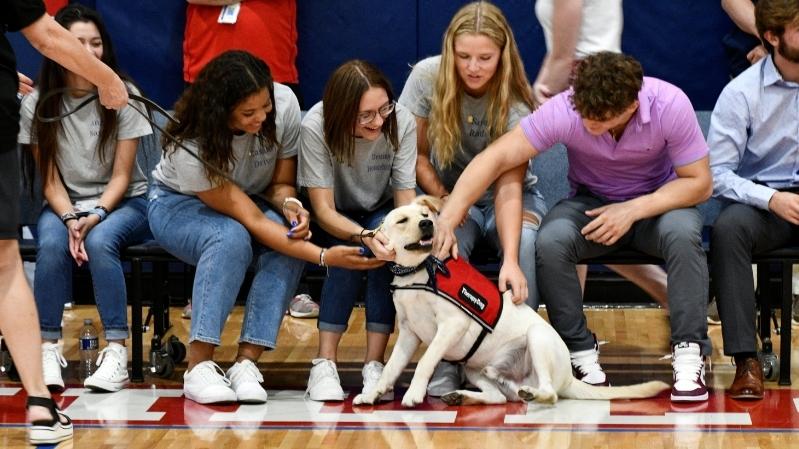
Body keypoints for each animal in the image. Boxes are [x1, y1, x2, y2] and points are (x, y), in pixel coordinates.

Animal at [356, 196, 668, 406]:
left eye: (425, 215)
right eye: (402, 221)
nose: (427, 224)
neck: (418, 271)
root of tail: (569, 378)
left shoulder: (451, 325)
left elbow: (426, 361)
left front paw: (413, 393)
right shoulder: (409, 335)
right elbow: (391, 369)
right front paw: (373, 393)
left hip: (537, 338)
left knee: (549, 394)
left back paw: (534, 393)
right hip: (474, 368)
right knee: (498, 398)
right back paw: (462, 396)